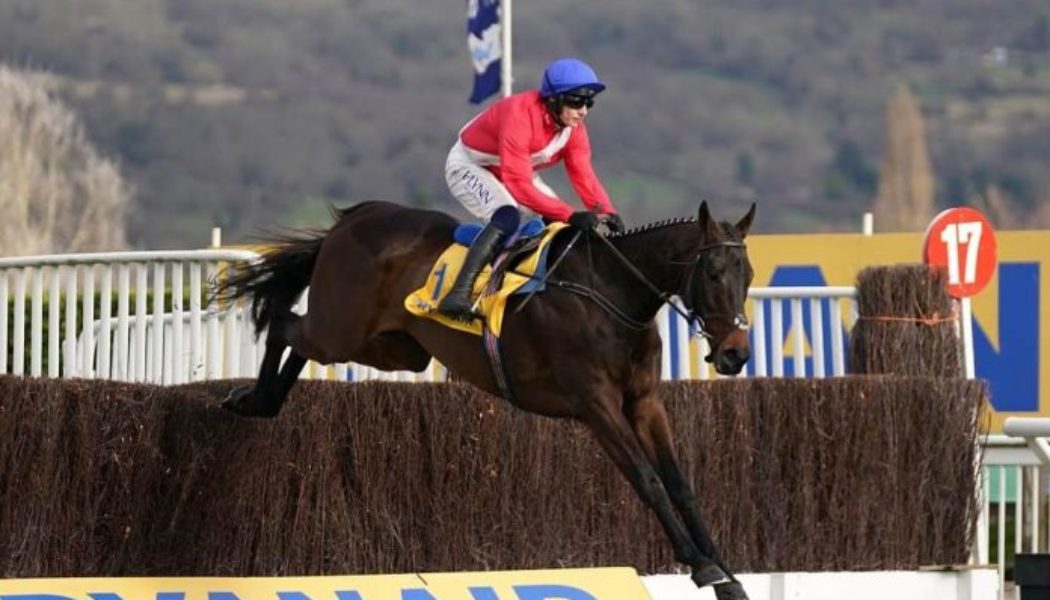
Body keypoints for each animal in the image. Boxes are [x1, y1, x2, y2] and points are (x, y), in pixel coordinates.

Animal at [216, 200, 756, 600]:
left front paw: (727, 578)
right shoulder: (595, 404)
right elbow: (649, 481)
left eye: (747, 274)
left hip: (391, 347)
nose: (736, 353)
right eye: (712, 272)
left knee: (299, 339)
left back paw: (262, 401)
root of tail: (355, 216)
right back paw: (254, 399)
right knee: (284, 322)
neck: (613, 291)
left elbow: (680, 483)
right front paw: (703, 567)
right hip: (341, 329)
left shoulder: (643, 401)